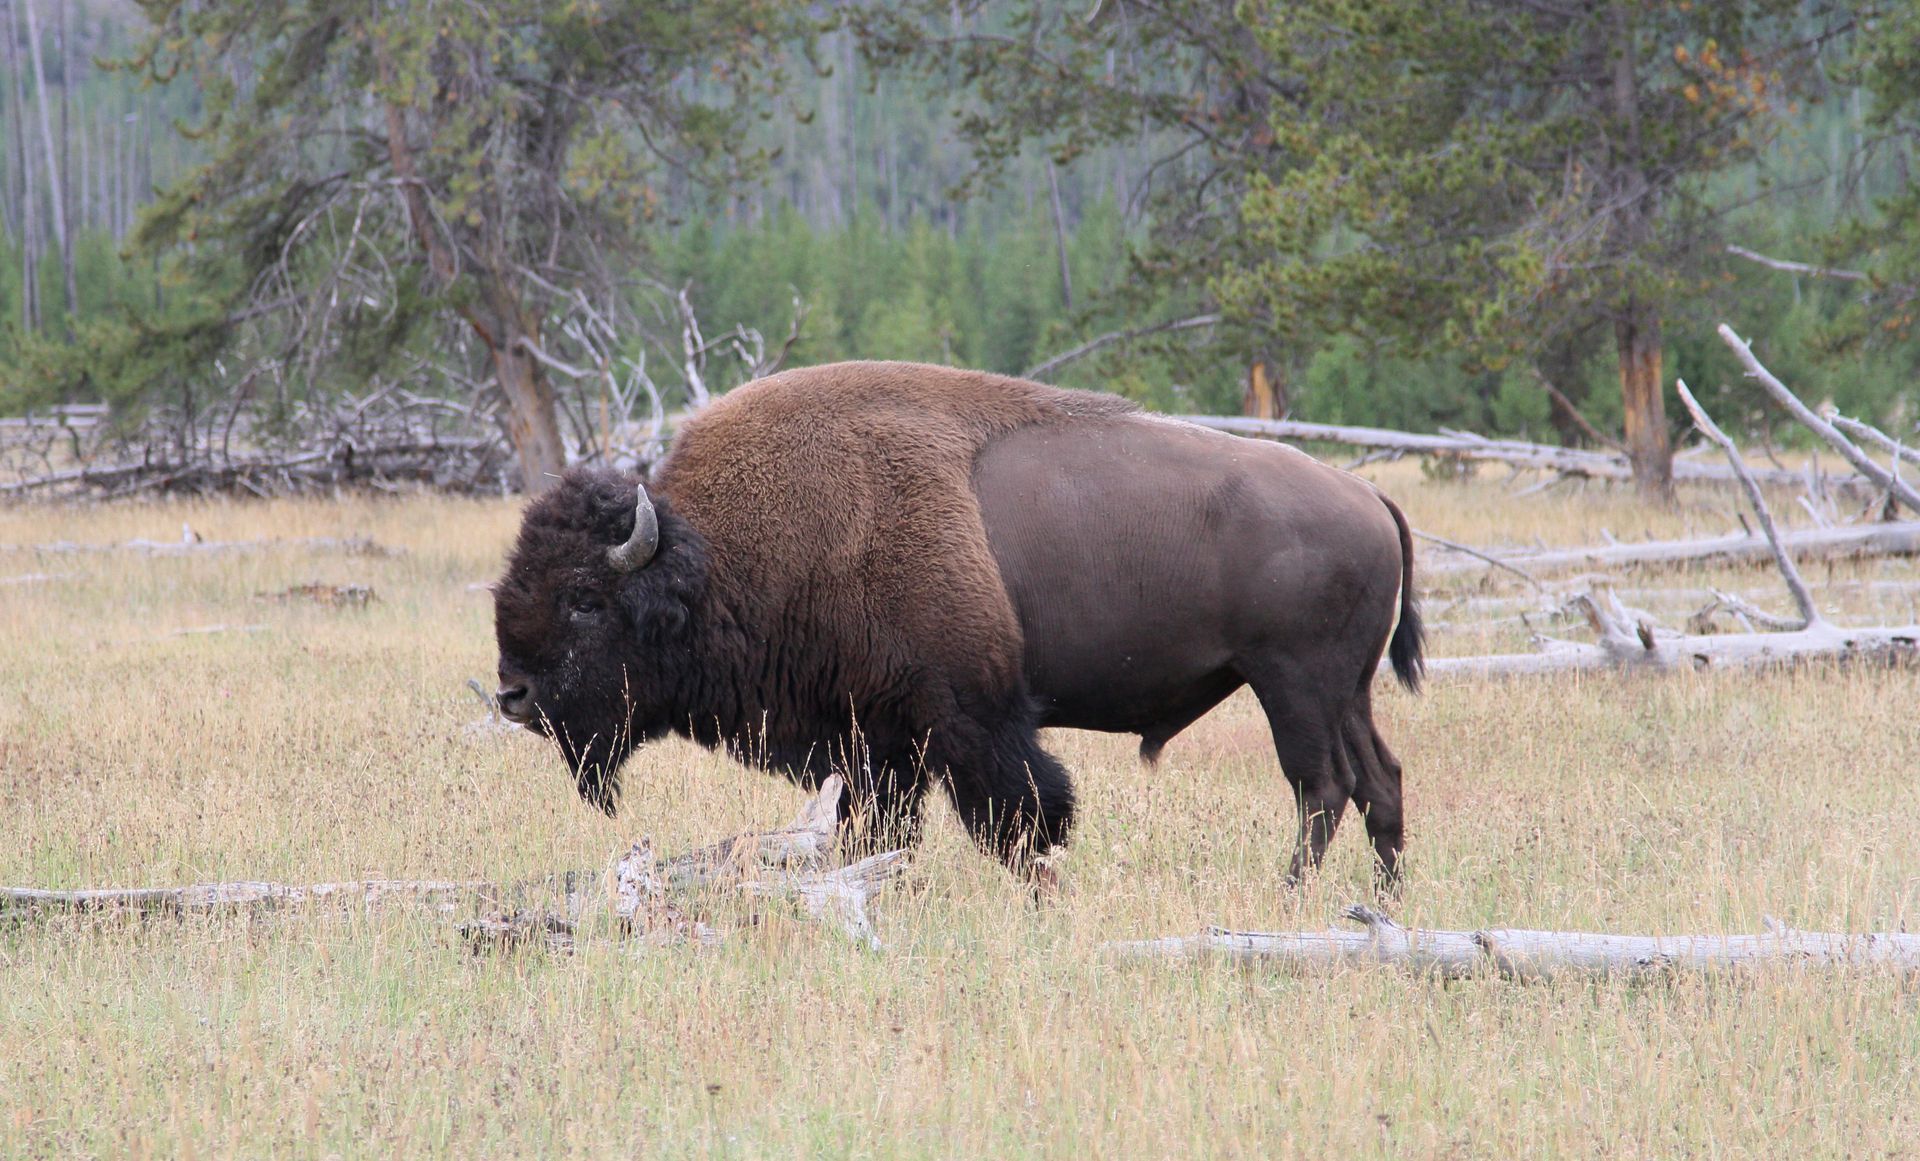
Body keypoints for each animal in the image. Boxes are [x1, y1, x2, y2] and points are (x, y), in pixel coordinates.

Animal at [493, 361, 1422, 885]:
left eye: (585, 598)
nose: (511, 694)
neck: (717, 551)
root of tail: (1368, 495)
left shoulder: (964, 719)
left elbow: (1019, 815)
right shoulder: (874, 738)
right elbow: (880, 827)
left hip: (1292, 683)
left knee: (1320, 786)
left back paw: (1289, 893)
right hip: (1345, 689)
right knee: (1378, 781)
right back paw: (1380, 900)